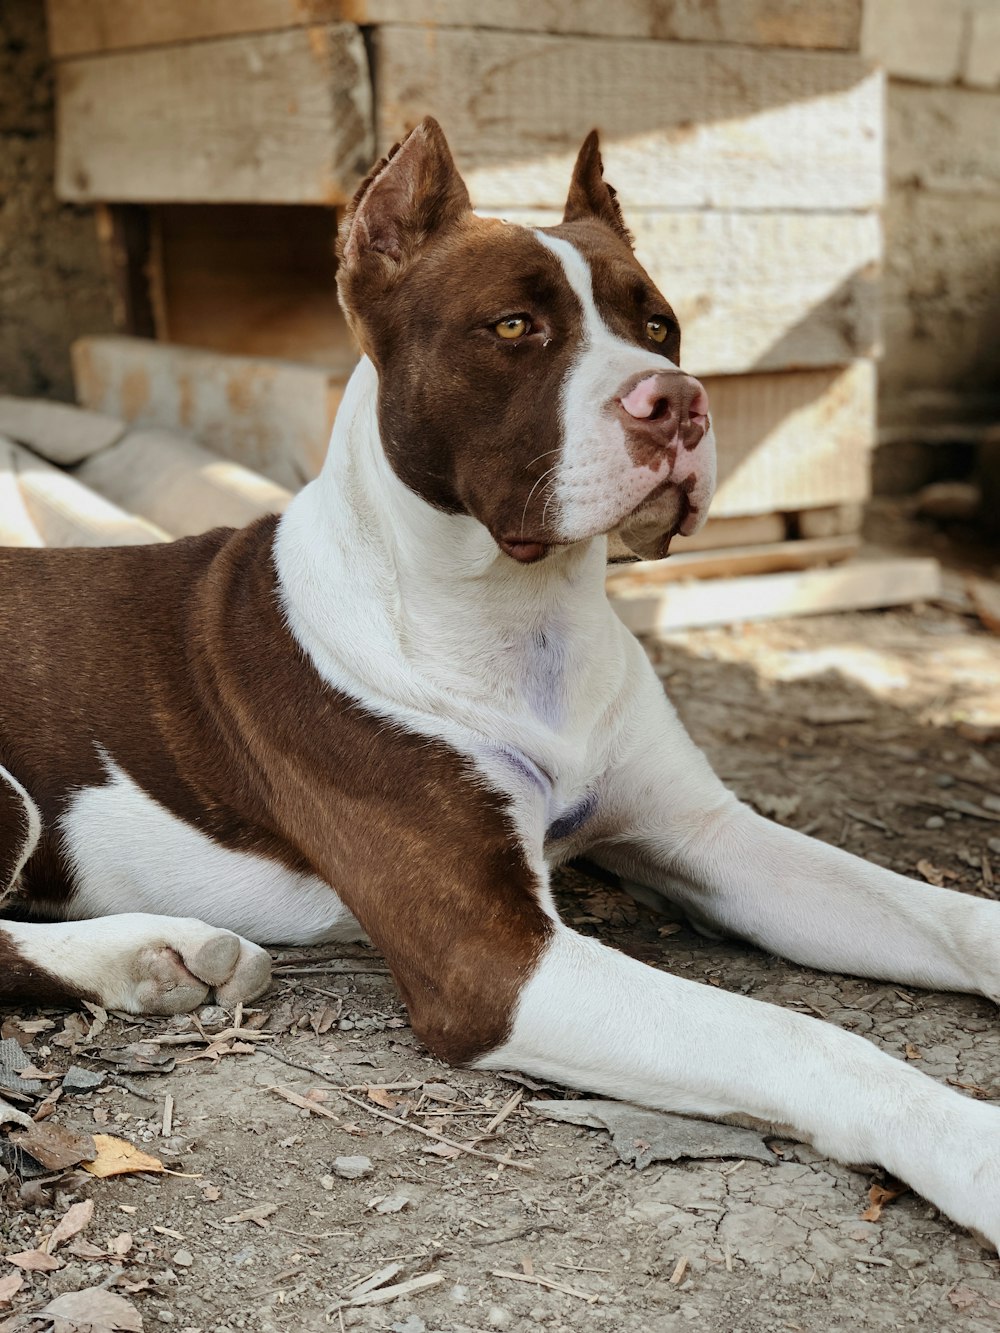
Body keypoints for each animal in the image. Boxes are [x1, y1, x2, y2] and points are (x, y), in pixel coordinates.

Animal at [1, 119, 1000, 1242]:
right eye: (514, 325)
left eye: (658, 324)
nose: (679, 402)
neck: (522, 619)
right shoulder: (493, 958)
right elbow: (798, 1035)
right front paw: (976, 1152)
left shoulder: (705, 836)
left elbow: (948, 914)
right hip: (12, 800)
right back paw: (150, 956)